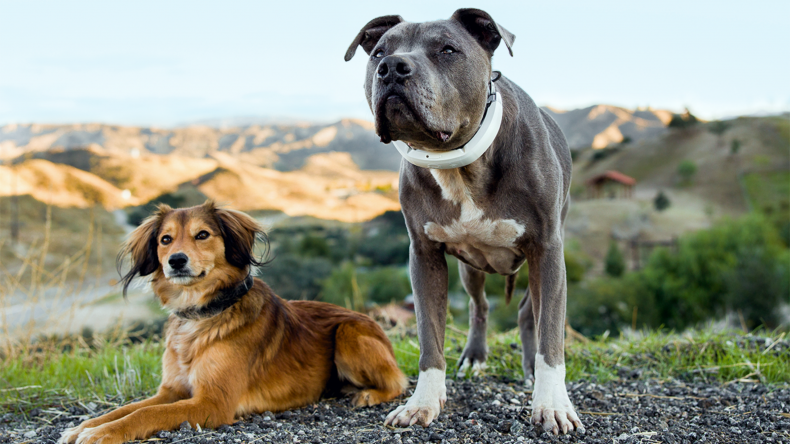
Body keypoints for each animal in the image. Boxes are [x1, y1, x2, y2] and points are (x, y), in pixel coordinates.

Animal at [60, 201, 408, 444]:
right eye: (165, 239)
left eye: (202, 235)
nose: (176, 261)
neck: (202, 314)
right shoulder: (172, 390)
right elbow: (128, 408)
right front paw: (84, 427)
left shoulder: (212, 403)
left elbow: (146, 413)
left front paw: (102, 433)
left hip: (349, 333)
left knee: (398, 382)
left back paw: (368, 395)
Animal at [344, 8, 580, 436]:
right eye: (380, 51)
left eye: (448, 50)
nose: (393, 67)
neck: (457, 161)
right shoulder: (424, 256)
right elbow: (430, 336)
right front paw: (422, 402)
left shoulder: (547, 249)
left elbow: (551, 336)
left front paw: (553, 404)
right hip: (472, 268)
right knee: (479, 305)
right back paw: (475, 355)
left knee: (529, 311)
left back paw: (530, 368)